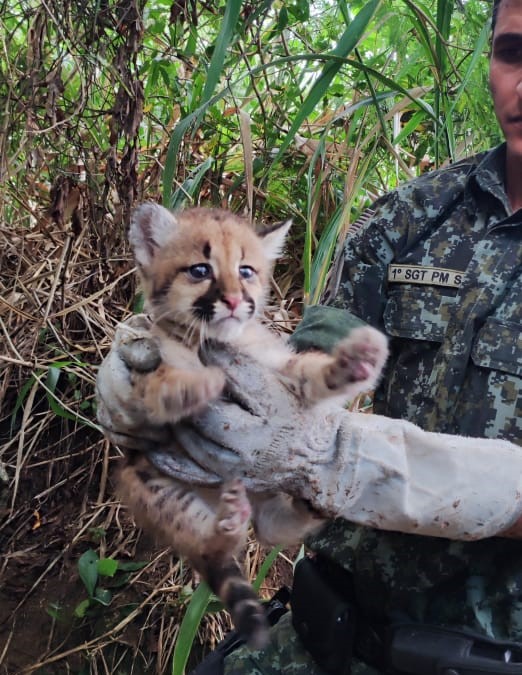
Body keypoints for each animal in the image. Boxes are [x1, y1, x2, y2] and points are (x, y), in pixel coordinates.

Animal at [118, 203, 386, 648]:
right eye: (200, 270)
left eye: (246, 270)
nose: (231, 300)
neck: (230, 342)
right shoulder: (150, 377)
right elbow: (158, 386)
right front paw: (198, 384)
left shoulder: (284, 375)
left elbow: (312, 372)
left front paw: (353, 364)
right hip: (156, 492)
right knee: (211, 549)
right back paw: (228, 518)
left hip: (270, 504)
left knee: (272, 528)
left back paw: (311, 504)